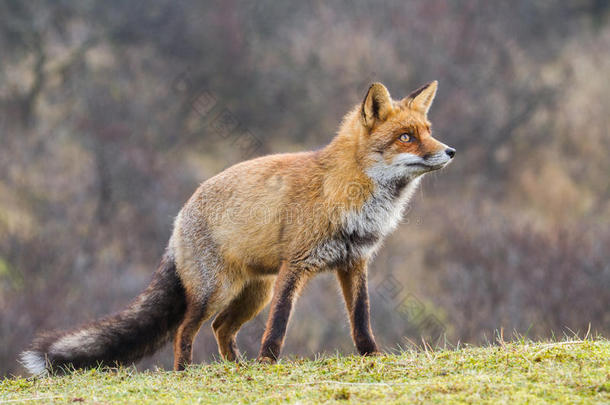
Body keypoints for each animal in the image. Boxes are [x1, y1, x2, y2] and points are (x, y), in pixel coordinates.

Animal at [21, 80, 452, 374]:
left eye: (428, 131)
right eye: (406, 137)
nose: (450, 151)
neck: (350, 194)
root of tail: (180, 216)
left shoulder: (354, 263)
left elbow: (361, 320)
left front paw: (372, 358)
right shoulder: (296, 266)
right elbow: (279, 324)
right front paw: (268, 363)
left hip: (252, 293)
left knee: (221, 329)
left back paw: (236, 368)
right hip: (217, 292)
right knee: (185, 330)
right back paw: (185, 373)